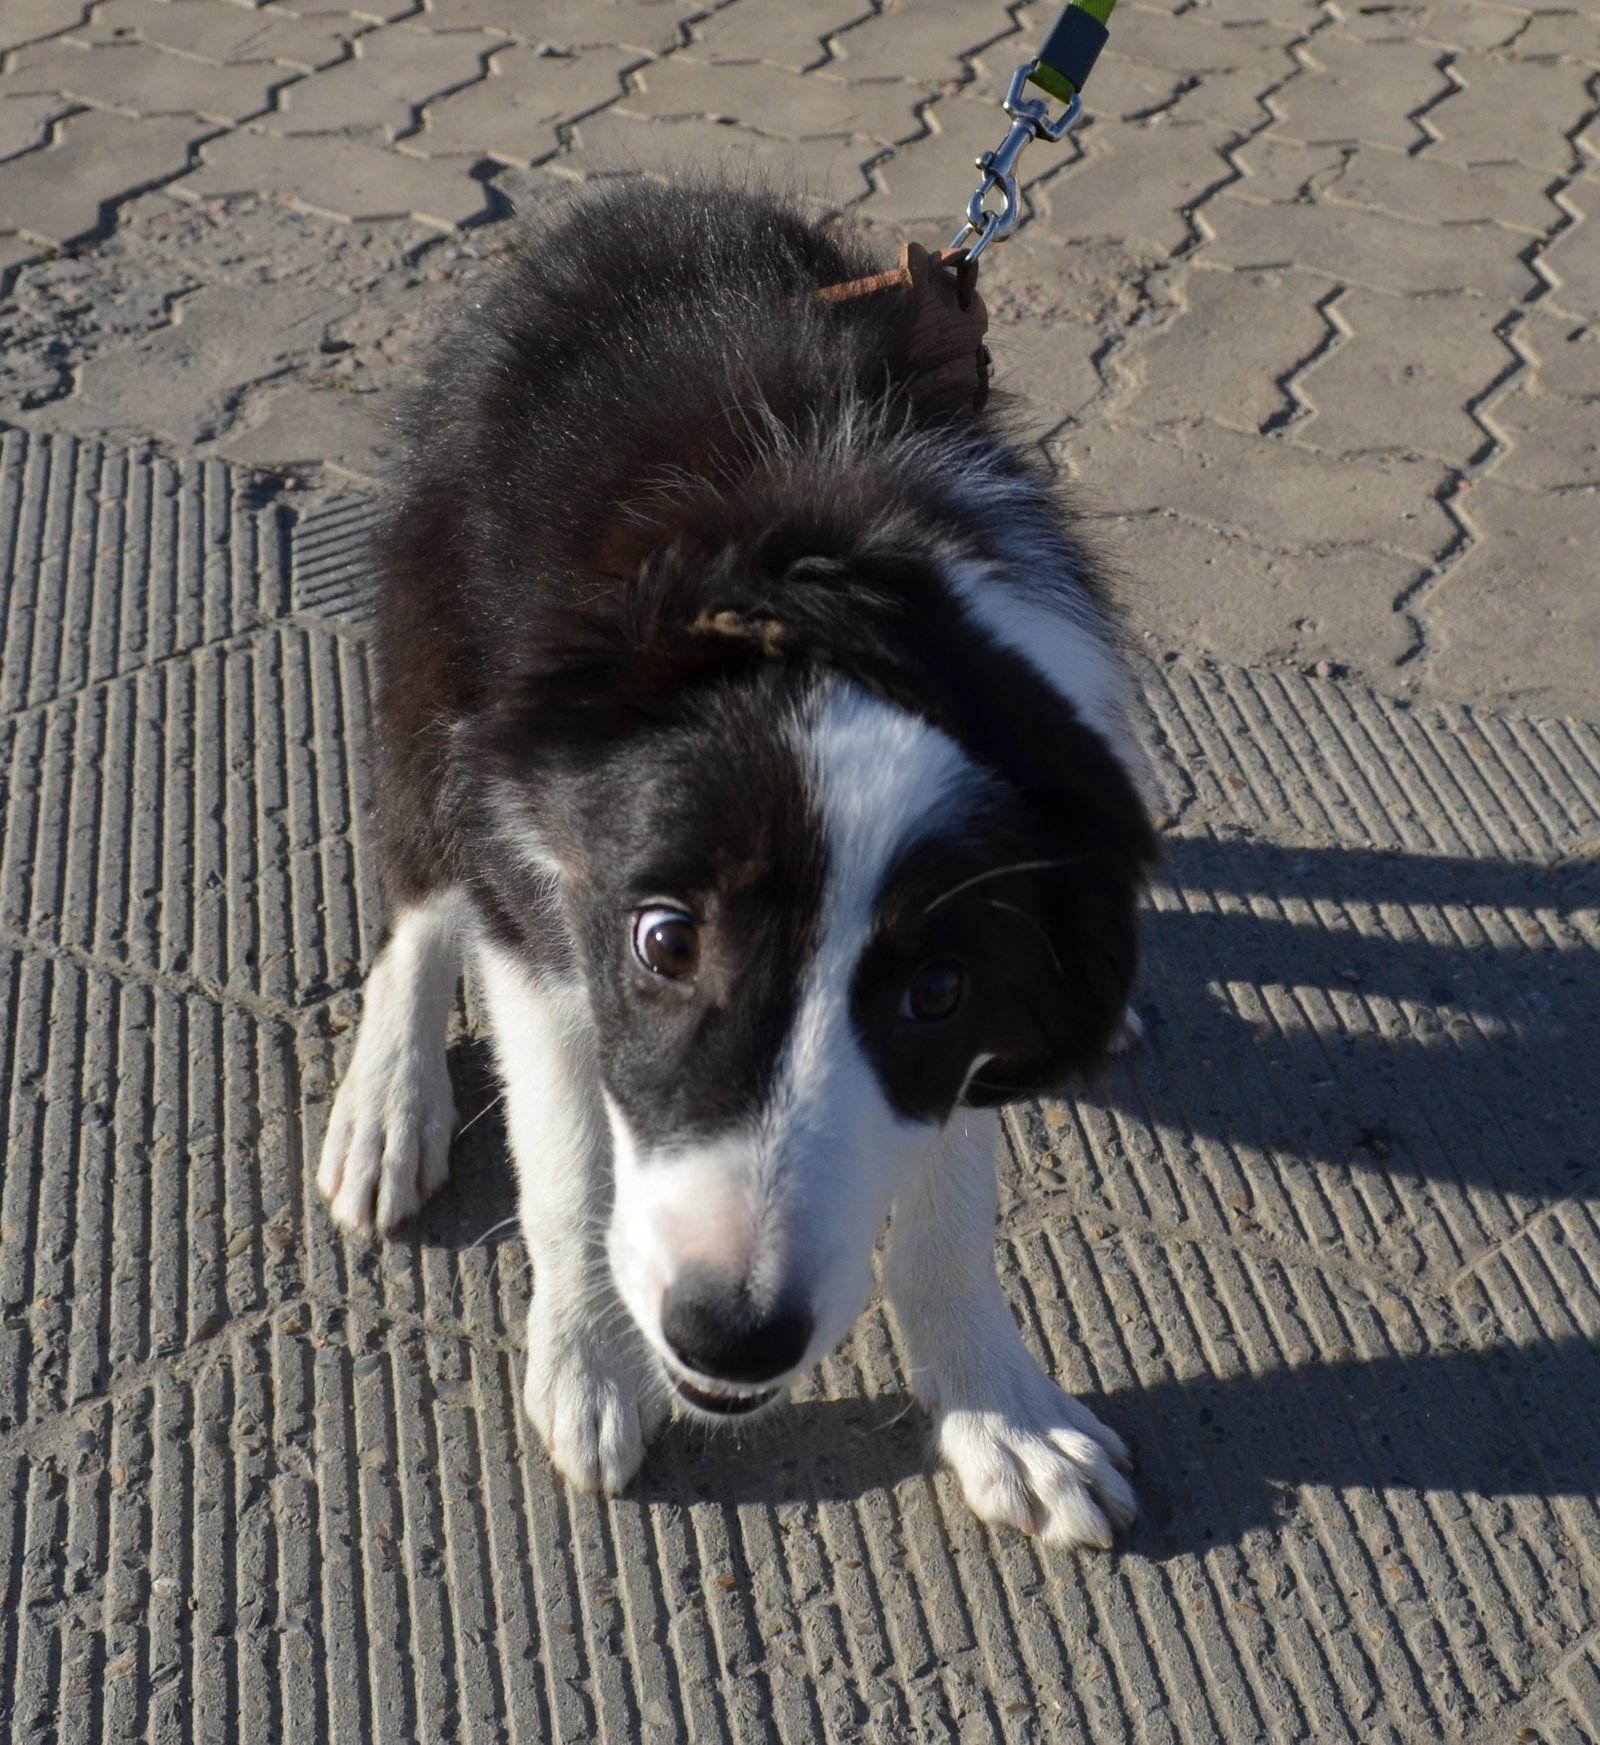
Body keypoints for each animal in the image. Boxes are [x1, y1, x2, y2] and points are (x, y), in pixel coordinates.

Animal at [312, 184, 1151, 1549]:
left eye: (936, 991)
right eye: (665, 940)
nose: (729, 1335)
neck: (845, 598)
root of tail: (642, 202)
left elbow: (947, 1215)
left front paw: (1000, 1408)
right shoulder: (548, 904)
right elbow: (568, 1156)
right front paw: (590, 1356)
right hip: (439, 656)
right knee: (422, 885)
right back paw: (389, 1101)